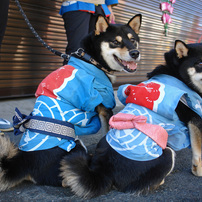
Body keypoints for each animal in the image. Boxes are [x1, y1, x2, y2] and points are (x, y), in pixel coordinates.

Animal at [0, 14, 142, 191]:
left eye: (133, 40)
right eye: (115, 42)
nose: (135, 53)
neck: (92, 60)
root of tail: (23, 162)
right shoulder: (105, 107)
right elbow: (108, 132)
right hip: (74, 147)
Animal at [61, 40, 202, 198]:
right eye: (200, 63)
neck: (178, 74)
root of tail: (105, 170)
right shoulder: (195, 118)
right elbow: (198, 151)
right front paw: (199, 171)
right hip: (168, 154)